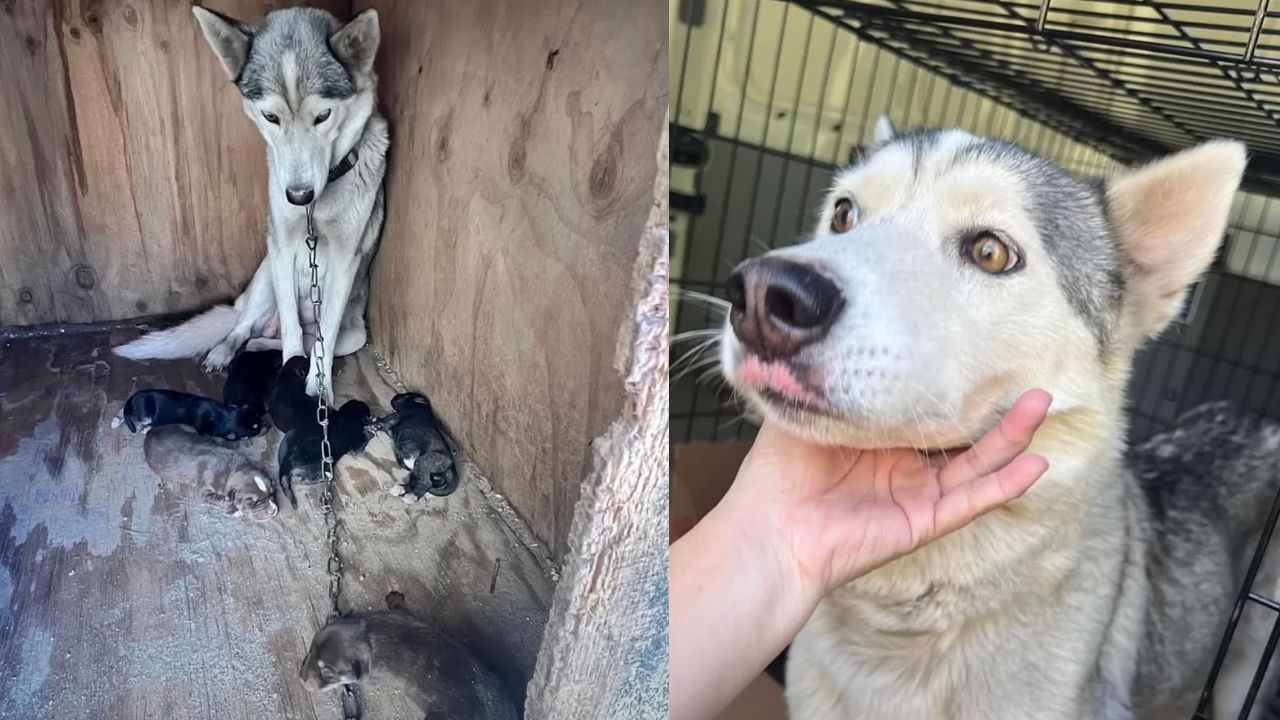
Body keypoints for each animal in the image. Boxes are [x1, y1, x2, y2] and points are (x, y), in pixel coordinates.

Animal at [111, 386, 261, 438]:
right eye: (254, 429)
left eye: (255, 414)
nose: (263, 426)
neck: (223, 415)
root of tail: (135, 396)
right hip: (145, 414)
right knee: (128, 413)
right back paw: (117, 421)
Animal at [114, 5, 384, 404]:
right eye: (270, 117)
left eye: (323, 116)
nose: (298, 196)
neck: (314, 210)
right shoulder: (282, 248)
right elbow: (291, 332)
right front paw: (291, 376)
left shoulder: (345, 262)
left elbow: (322, 341)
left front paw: (317, 388)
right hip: (266, 279)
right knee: (246, 328)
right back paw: (224, 351)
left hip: (356, 335)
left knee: (285, 339)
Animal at [142, 422, 277, 517]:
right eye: (250, 502)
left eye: (272, 493)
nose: (273, 511)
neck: (232, 468)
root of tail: (151, 431)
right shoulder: (204, 492)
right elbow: (221, 499)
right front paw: (234, 510)